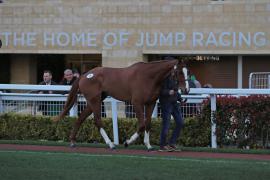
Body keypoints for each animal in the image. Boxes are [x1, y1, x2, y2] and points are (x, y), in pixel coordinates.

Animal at [55, 59, 189, 149]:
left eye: (187, 71)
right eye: (179, 72)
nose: (186, 90)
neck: (148, 76)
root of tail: (84, 75)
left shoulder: (150, 103)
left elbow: (148, 124)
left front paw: (148, 145)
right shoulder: (137, 103)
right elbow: (142, 124)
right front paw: (127, 142)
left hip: (96, 100)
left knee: (81, 118)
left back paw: (73, 141)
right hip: (94, 100)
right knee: (97, 120)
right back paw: (110, 144)